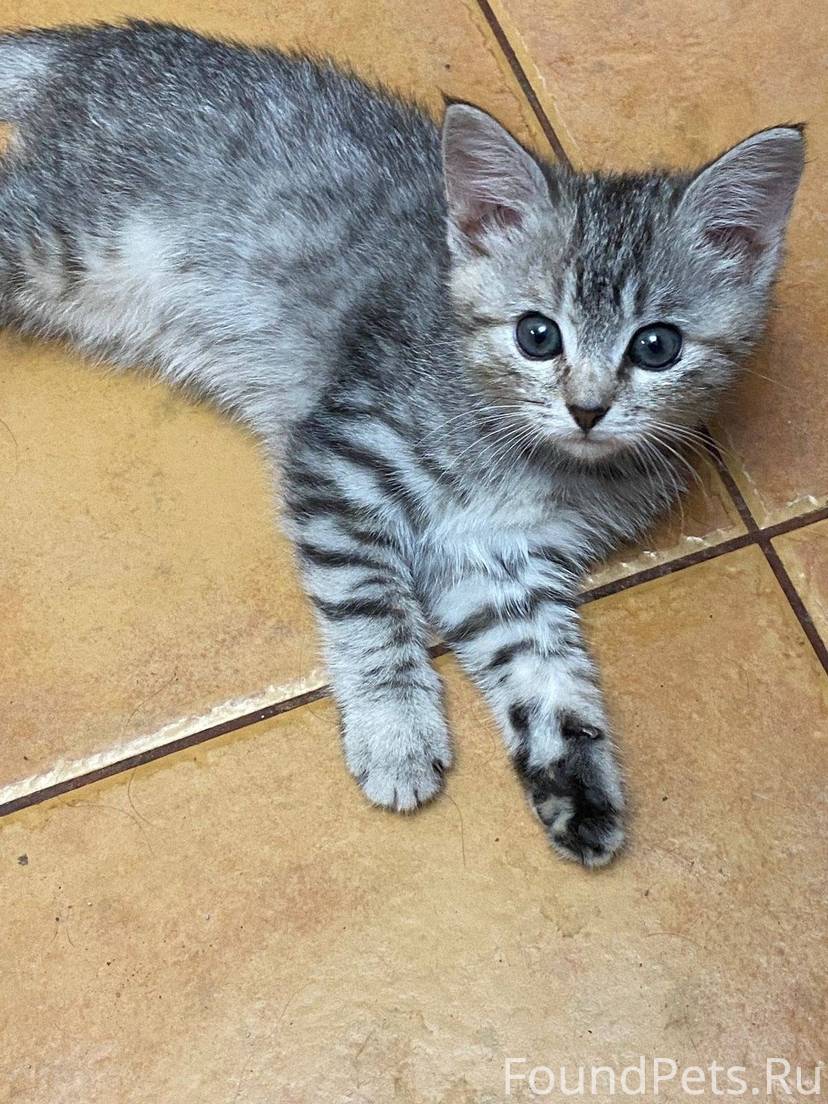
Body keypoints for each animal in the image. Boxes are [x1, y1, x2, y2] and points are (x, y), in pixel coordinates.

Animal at [0, 21, 804, 865]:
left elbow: (544, 667)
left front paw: (575, 778)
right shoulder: (344, 458)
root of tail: (114, 46)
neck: (532, 459)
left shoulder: (497, 560)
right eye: (537, 335)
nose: (587, 409)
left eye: (656, 347)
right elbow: (369, 605)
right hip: (64, 239)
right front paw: (395, 732)